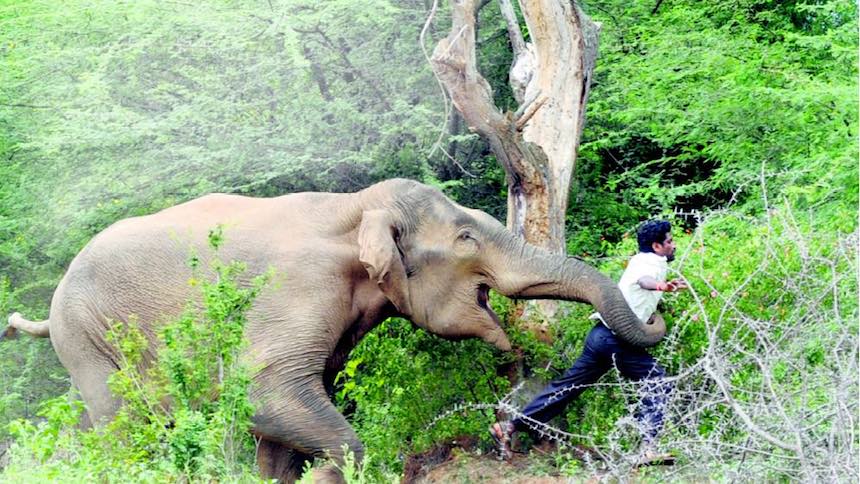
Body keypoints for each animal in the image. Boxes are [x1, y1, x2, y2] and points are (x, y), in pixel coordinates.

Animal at [5, 178, 664, 480]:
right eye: (466, 239)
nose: (515, 367)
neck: (355, 205)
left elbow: (281, 414)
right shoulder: (299, 289)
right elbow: (267, 392)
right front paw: (329, 473)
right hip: (87, 337)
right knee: (124, 428)